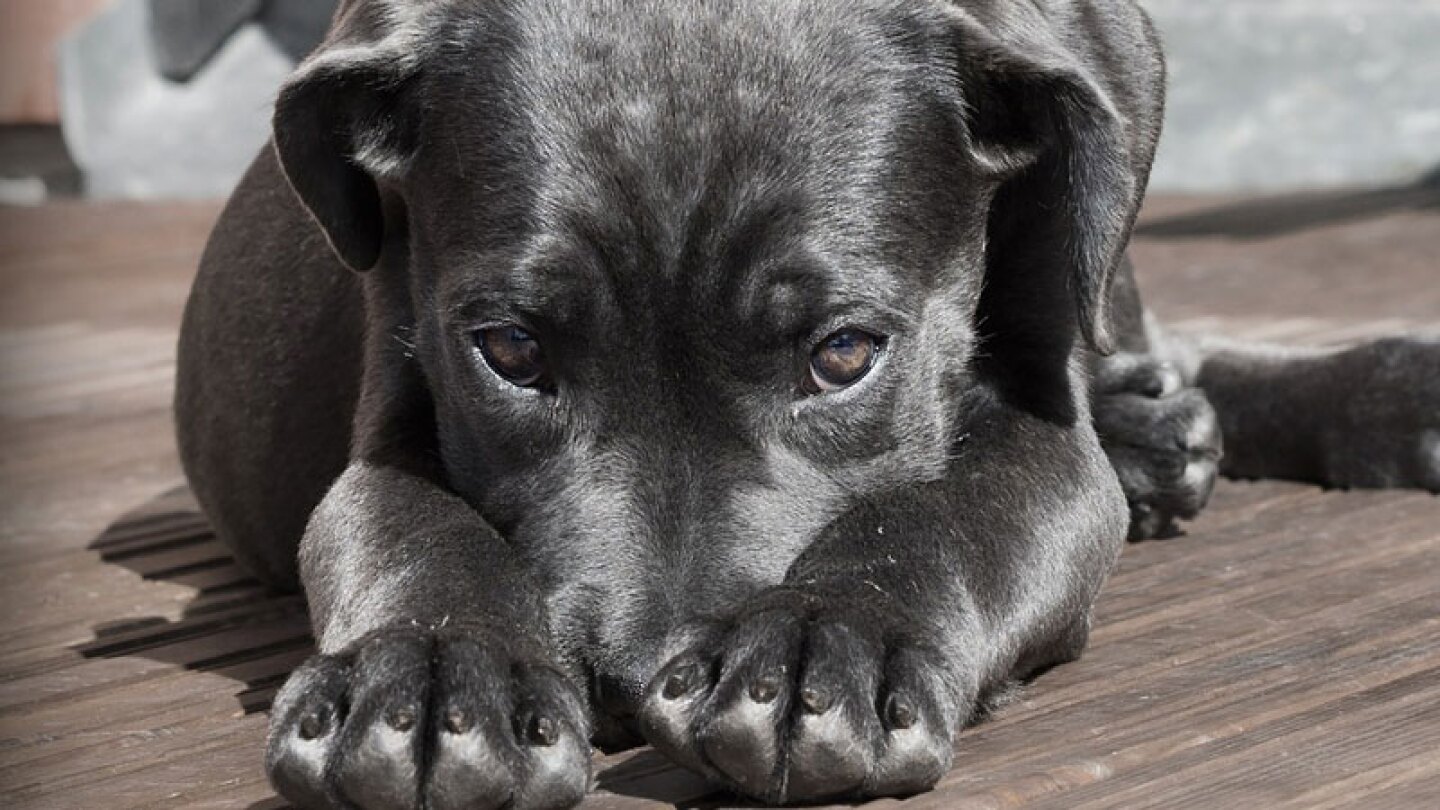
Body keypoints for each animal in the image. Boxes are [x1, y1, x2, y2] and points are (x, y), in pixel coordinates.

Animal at [177, 1, 1440, 807]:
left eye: (842, 356)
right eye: (509, 350)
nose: (631, 683)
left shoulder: (1042, 428)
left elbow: (948, 513)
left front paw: (826, 643)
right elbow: (405, 524)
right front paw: (436, 675)